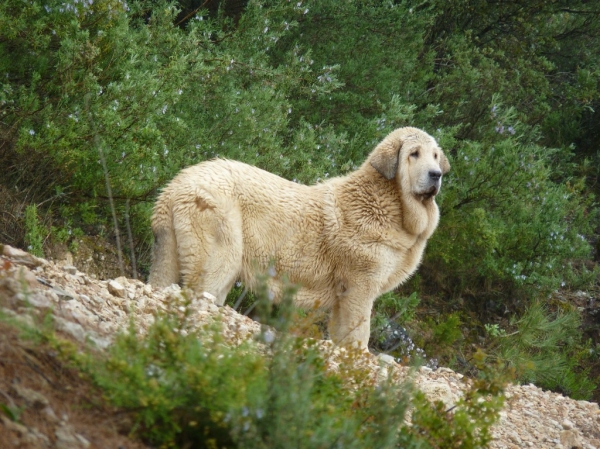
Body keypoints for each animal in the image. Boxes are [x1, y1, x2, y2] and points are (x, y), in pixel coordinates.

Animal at [149, 126, 450, 346]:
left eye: (435, 156)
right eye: (414, 154)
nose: (436, 174)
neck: (389, 205)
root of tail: (175, 185)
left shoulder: (344, 294)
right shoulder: (360, 286)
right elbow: (358, 332)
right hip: (220, 251)